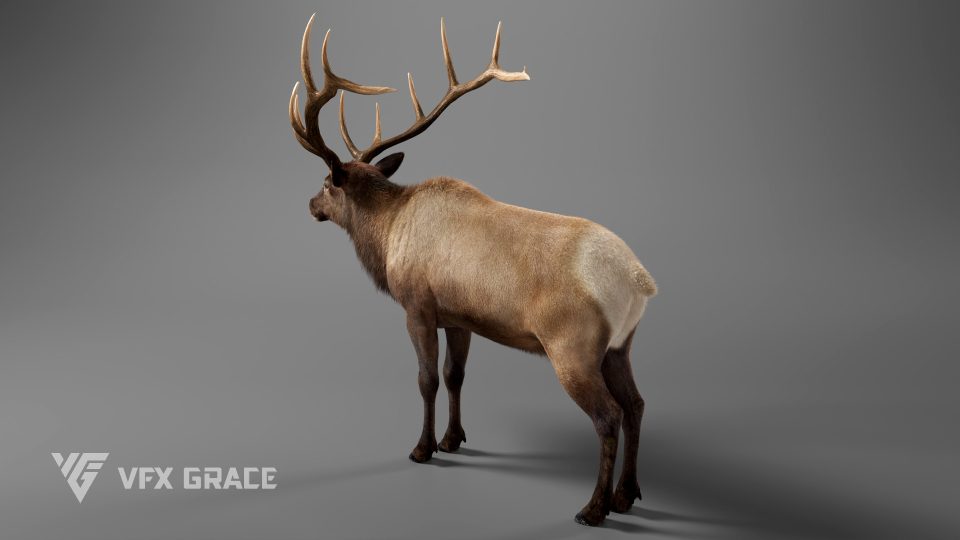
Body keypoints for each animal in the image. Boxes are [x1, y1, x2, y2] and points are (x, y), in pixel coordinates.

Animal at [288, 14, 657, 526]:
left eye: (327, 183)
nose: (309, 204)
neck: (388, 235)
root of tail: (640, 280)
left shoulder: (417, 306)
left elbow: (425, 378)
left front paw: (422, 448)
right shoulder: (459, 318)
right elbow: (454, 374)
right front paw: (452, 439)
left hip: (573, 347)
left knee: (609, 415)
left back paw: (594, 508)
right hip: (621, 346)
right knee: (637, 404)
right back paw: (627, 494)